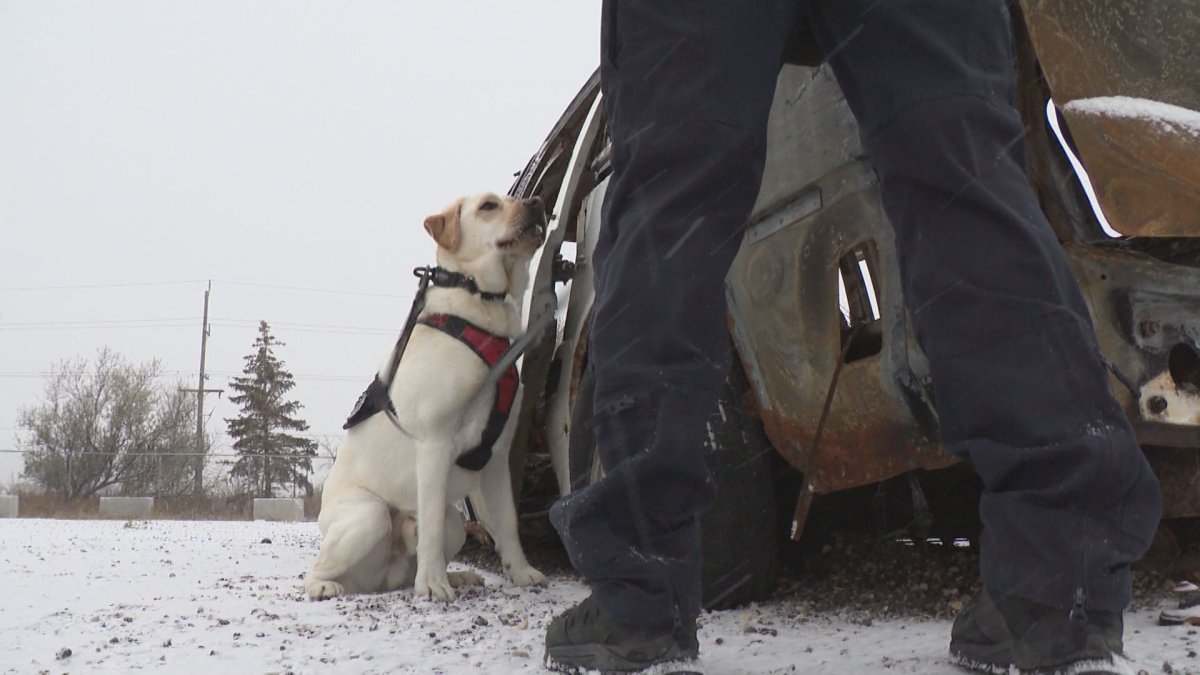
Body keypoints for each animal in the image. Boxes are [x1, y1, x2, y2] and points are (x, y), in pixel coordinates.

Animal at [309, 192, 552, 595]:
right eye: (489, 206)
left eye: (514, 199)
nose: (537, 202)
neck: (481, 303)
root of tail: (383, 581)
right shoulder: (435, 444)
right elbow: (433, 531)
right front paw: (434, 586)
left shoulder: (497, 456)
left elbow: (507, 523)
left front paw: (521, 572)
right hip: (370, 515)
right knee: (319, 567)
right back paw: (324, 586)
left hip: (453, 523)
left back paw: (456, 575)